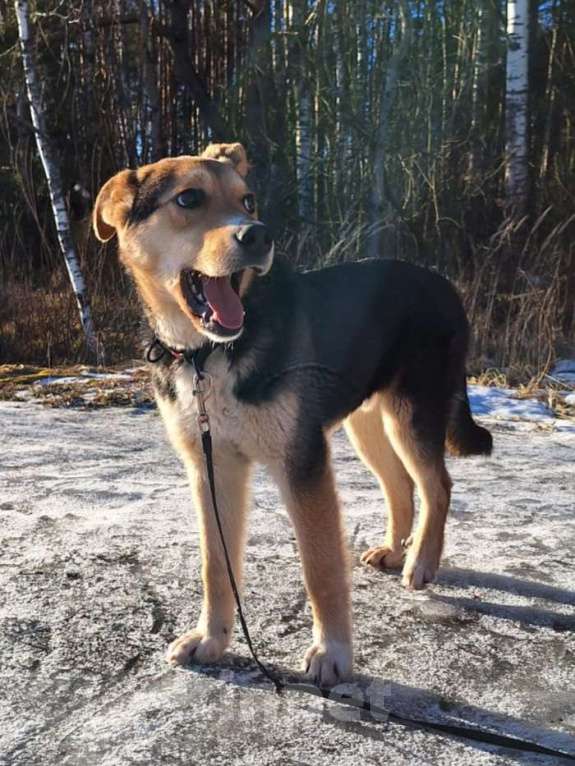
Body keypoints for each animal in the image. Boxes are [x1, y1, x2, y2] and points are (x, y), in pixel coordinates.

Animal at [92, 144, 492, 688]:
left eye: (248, 200)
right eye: (189, 198)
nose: (258, 235)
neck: (207, 355)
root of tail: (444, 284)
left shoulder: (302, 463)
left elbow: (320, 569)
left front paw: (333, 653)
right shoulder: (212, 468)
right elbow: (215, 566)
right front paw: (212, 640)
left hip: (411, 414)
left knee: (437, 485)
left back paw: (422, 563)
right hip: (367, 423)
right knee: (400, 485)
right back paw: (394, 549)